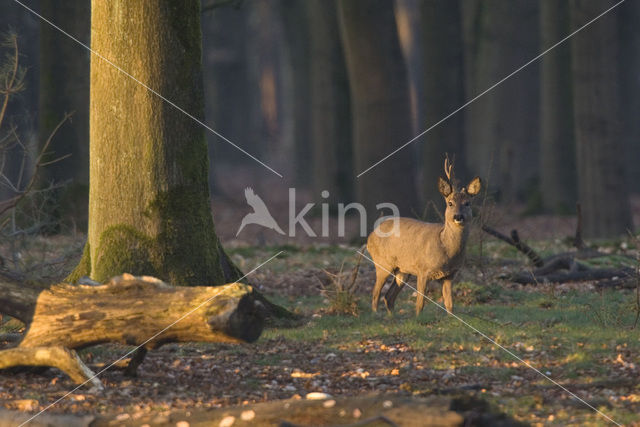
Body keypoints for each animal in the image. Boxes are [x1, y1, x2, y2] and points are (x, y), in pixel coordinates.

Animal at [364, 159, 480, 316]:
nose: (458, 216)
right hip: (382, 263)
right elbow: (420, 303)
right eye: (450, 203)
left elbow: (450, 306)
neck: (446, 249)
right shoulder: (423, 269)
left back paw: (391, 317)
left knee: (388, 297)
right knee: (376, 293)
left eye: (467, 203)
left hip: (402, 270)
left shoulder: (450, 275)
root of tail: (371, 235)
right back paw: (376, 314)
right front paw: (418, 318)